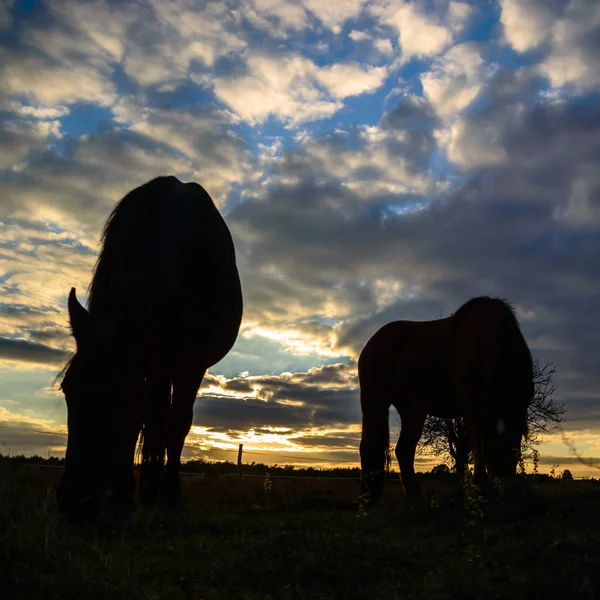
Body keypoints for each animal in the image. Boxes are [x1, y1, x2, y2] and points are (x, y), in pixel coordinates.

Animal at [56, 176, 244, 516]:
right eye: (68, 389)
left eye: (118, 395)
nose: (72, 501)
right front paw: (123, 500)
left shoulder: (191, 364)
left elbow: (176, 423)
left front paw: (169, 498)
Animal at [358, 298, 532, 504]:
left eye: (513, 448)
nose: (502, 488)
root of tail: (371, 343)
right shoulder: (473, 410)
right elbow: (477, 445)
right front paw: (478, 484)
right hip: (375, 401)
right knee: (369, 445)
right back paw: (367, 498)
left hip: (412, 411)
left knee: (404, 450)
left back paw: (415, 497)